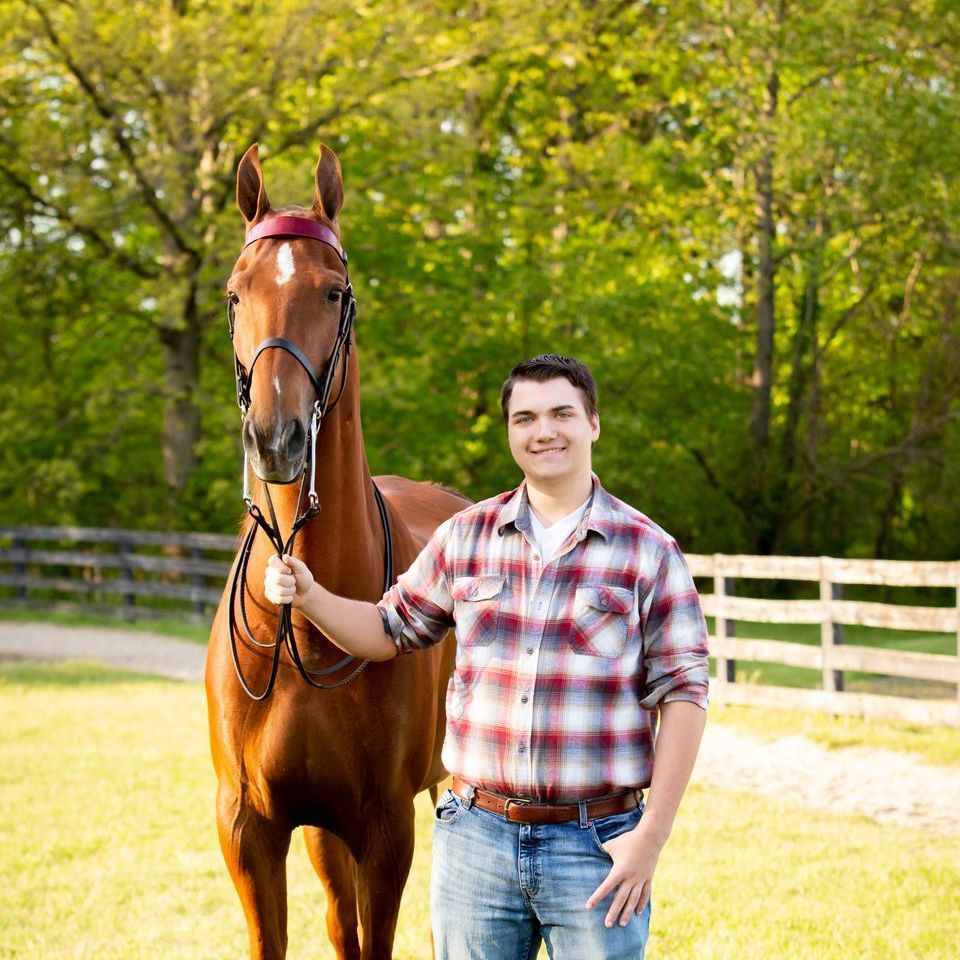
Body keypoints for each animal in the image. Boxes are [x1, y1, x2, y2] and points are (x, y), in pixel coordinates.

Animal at [205, 142, 465, 960]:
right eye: (235, 294)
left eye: (333, 292)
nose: (276, 437)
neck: (307, 630)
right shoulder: (249, 828)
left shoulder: (385, 831)